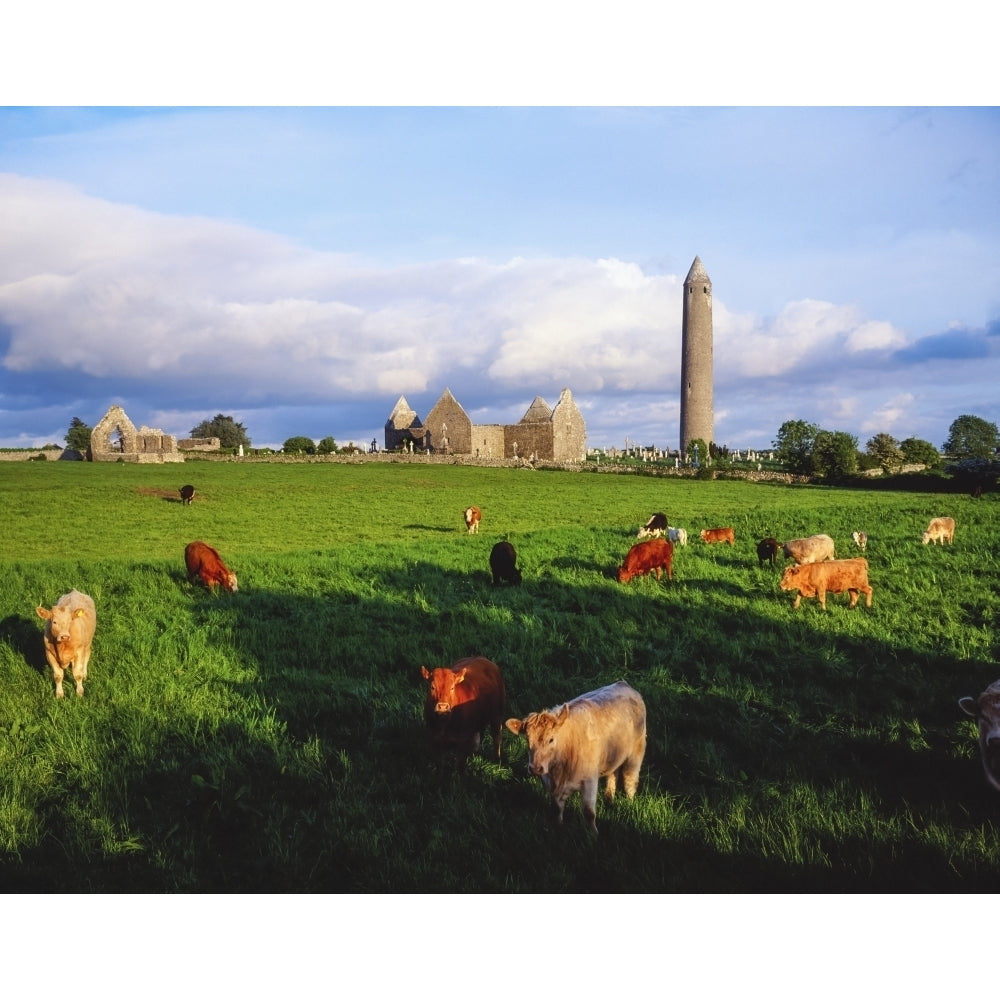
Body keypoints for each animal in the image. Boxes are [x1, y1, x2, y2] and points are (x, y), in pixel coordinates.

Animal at [508, 680, 648, 836]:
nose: (535, 768)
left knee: (630, 781)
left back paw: (629, 803)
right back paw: (609, 798)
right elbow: (557, 808)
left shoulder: (590, 780)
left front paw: (594, 835)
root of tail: (623, 684)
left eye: (551, 739)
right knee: (613, 775)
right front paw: (558, 827)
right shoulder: (550, 783)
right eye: (527, 739)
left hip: (635, 754)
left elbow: (589, 812)